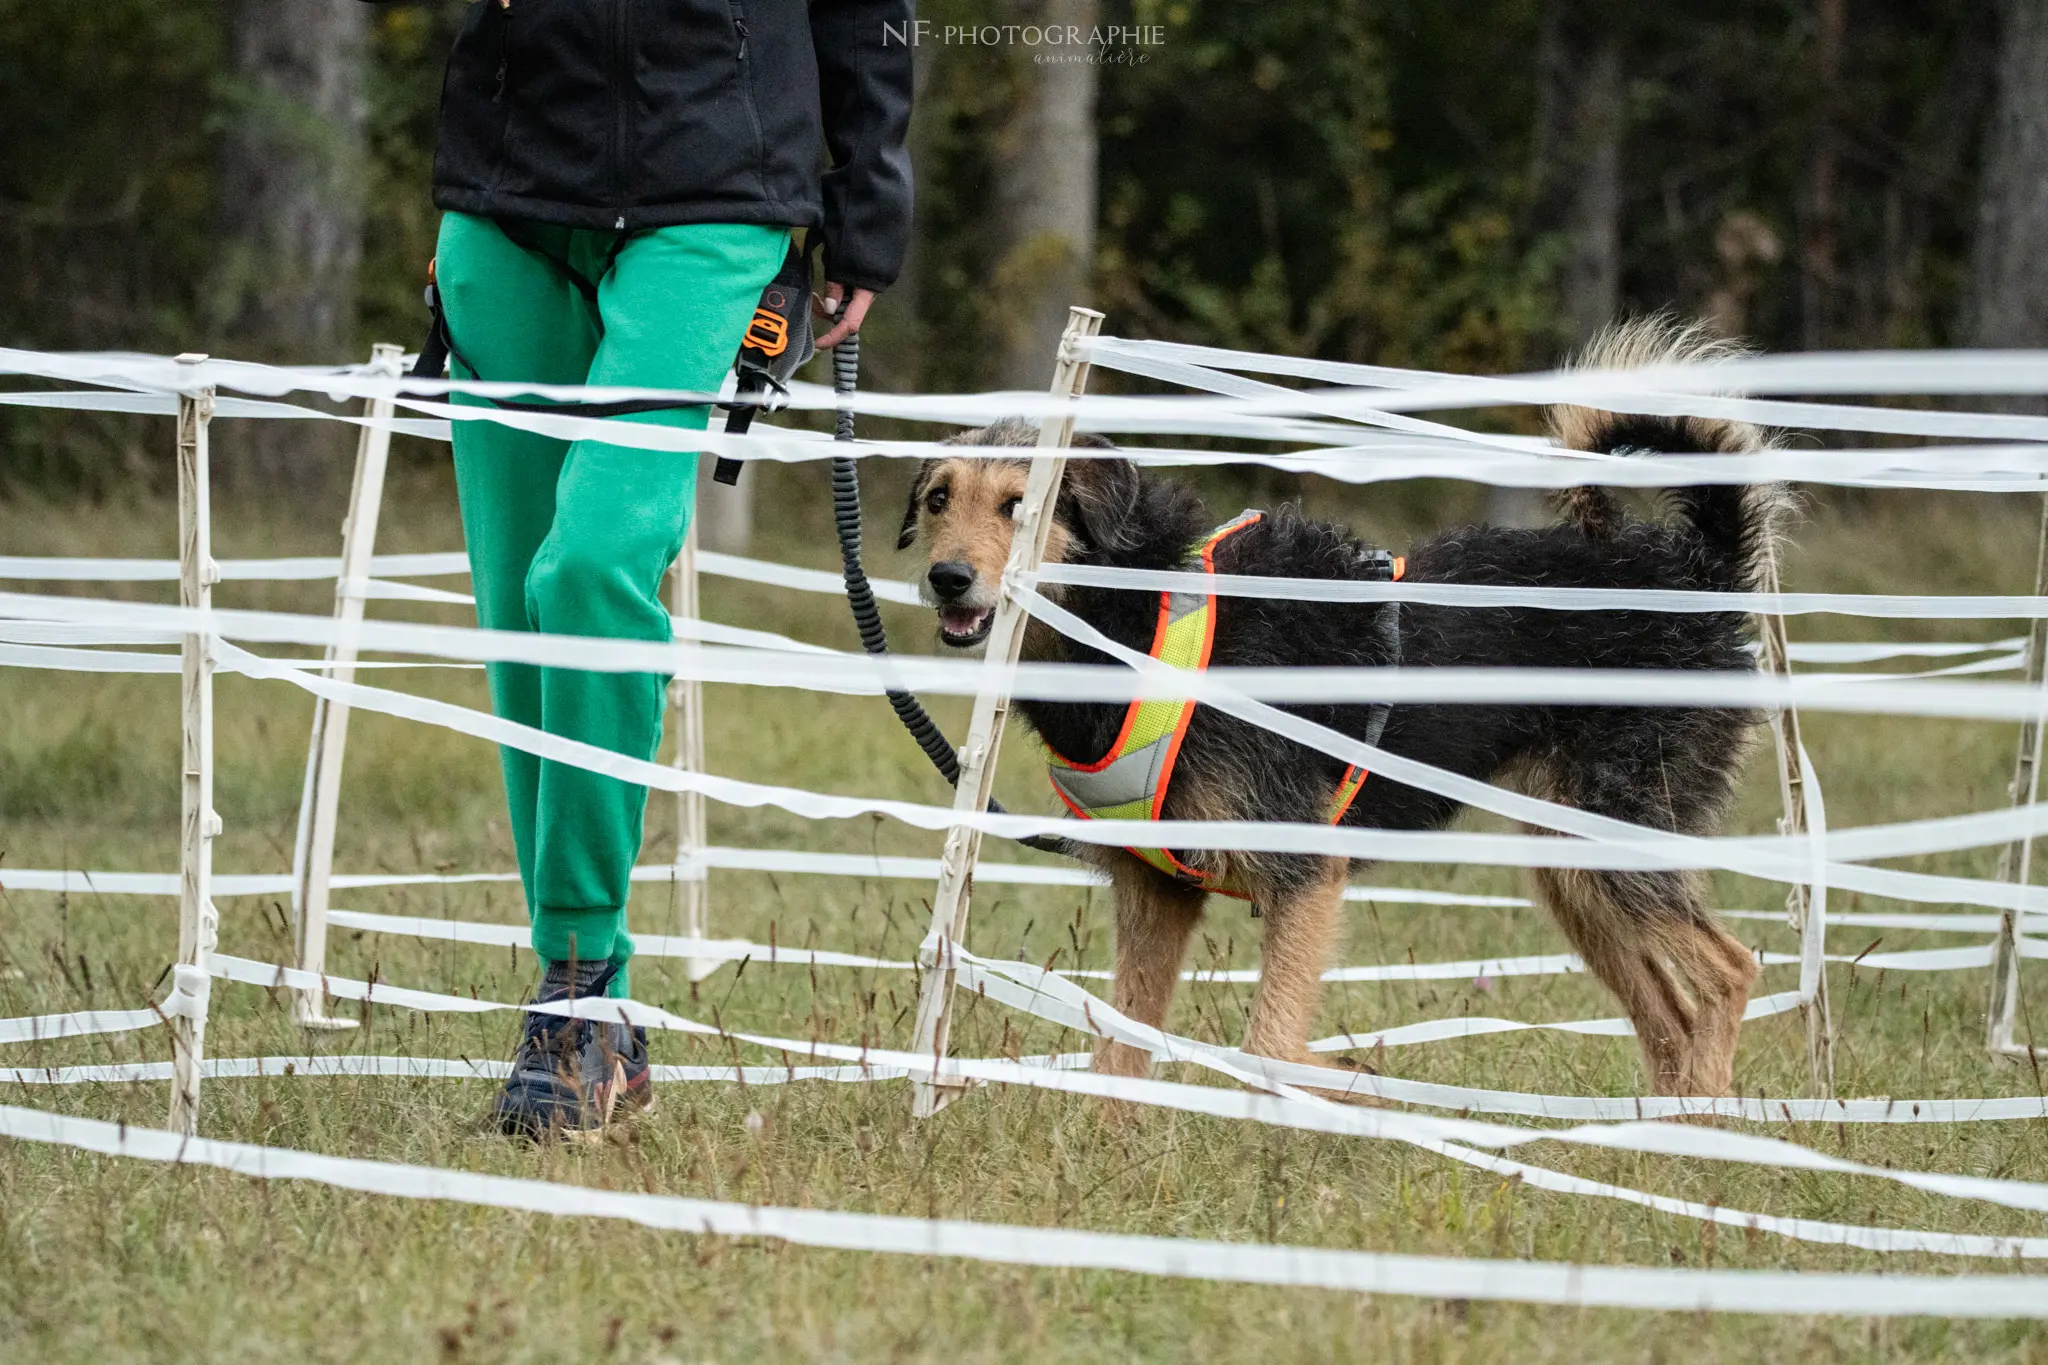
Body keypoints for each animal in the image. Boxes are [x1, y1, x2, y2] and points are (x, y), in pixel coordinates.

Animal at [901, 323, 1794, 1096]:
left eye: (1021, 504)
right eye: (939, 497)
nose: (946, 578)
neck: (1138, 615)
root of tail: (1694, 573)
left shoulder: (1303, 871)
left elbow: (1267, 1045)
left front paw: (1352, 1085)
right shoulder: (1158, 890)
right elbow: (1120, 1058)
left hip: (1616, 844)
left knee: (1728, 975)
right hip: (1574, 865)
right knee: (1669, 1017)